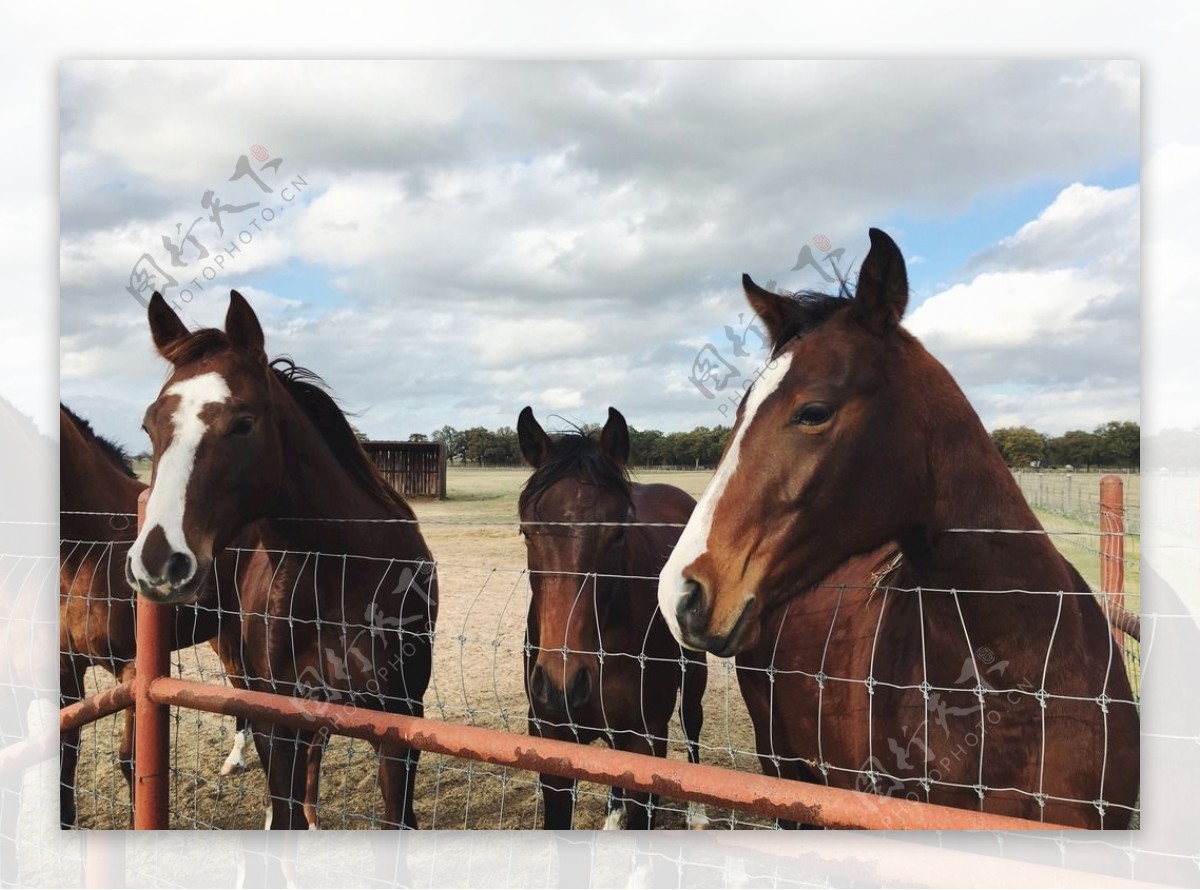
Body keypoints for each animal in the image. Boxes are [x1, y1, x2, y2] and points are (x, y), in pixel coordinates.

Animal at [60, 405, 250, 830]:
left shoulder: (133, 671)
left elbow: (131, 761)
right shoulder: (65, 667)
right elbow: (65, 754)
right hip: (225, 633)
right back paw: (234, 760)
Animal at [127, 291, 436, 830]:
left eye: (243, 424)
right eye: (149, 424)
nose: (159, 562)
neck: (349, 578)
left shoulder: (399, 726)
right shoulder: (280, 722)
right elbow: (284, 803)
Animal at [518, 407, 705, 834]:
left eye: (618, 533)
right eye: (527, 532)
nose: (563, 683)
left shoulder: (645, 743)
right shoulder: (553, 742)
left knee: (692, 722)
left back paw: (698, 813)